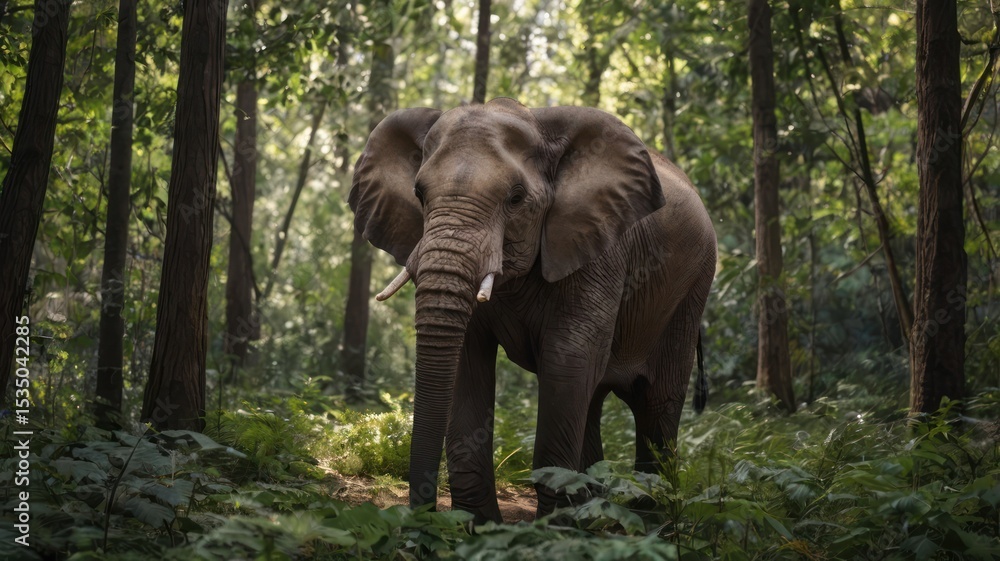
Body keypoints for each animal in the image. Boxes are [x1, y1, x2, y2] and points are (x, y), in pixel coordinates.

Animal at [349, 98, 717, 523]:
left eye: (515, 198)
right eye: (419, 194)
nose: (423, 515)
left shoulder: (600, 247)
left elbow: (567, 356)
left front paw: (547, 529)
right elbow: (467, 360)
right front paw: (478, 528)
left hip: (691, 290)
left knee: (656, 402)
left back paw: (651, 522)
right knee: (593, 396)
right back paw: (594, 514)